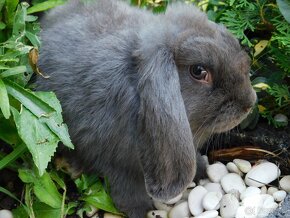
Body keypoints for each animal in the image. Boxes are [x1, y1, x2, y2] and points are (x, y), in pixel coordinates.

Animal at [35, 0, 256, 217]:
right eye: (199, 71)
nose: (249, 103)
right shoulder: (115, 160)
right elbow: (127, 188)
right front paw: (139, 210)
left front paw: (201, 170)